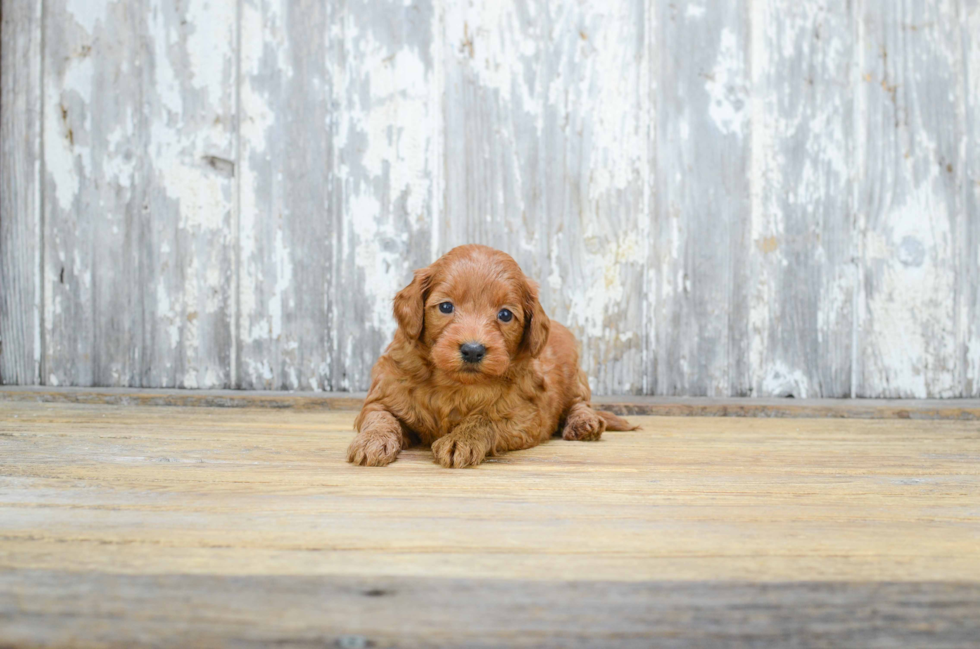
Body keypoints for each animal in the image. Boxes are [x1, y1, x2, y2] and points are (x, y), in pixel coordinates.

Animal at [348, 243, 640, 466]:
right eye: (446, 307)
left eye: (505, 314)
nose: (473, 349)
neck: (454, 384)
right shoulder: (384, 394)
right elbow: (379, 418)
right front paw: (372, 441)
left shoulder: (525, 416)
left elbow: (484, 419)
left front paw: (460, 439)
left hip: (576, 376)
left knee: (579, 403)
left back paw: (584, 423)